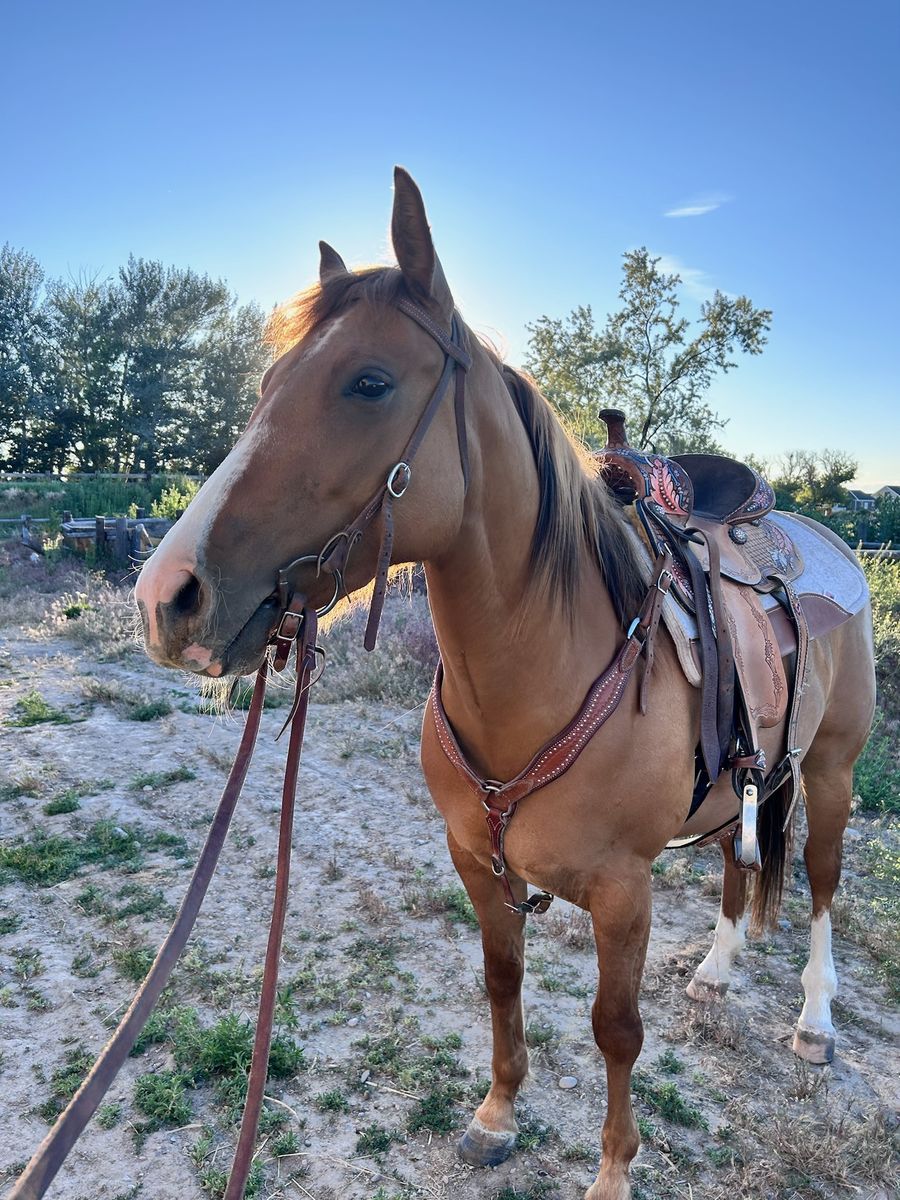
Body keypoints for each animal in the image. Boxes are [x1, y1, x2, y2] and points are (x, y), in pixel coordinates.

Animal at [134, 167, 876, 1200]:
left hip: (835, 770)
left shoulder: (623, 891)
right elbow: (502, 981)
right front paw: (496, 1115)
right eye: (269, 386)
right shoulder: (476, 866)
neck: (536, 678)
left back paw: (814, 1021)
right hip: (751, 774)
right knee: (740, 865)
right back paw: (717, 971)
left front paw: (613, 1170)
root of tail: (821, 538)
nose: (167, 597)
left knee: (821, 882)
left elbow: (616, 1030)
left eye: (370, 382)